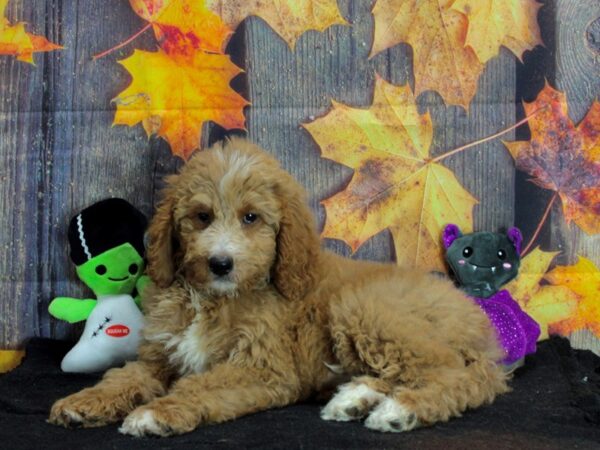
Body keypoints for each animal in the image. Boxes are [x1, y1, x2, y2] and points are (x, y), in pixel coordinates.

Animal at [50, 138, 506, 436]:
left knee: (451, 376)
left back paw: (400, 410)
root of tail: (478, 325)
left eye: (251, 218)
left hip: (364, 309)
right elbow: (123, 377)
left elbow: (201, 384)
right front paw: (83, 403)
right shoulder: (157, 357)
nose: (220, 263)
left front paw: (156, 413)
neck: (214, 299)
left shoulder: (264, 368)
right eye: (201, 216)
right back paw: (354, 399)